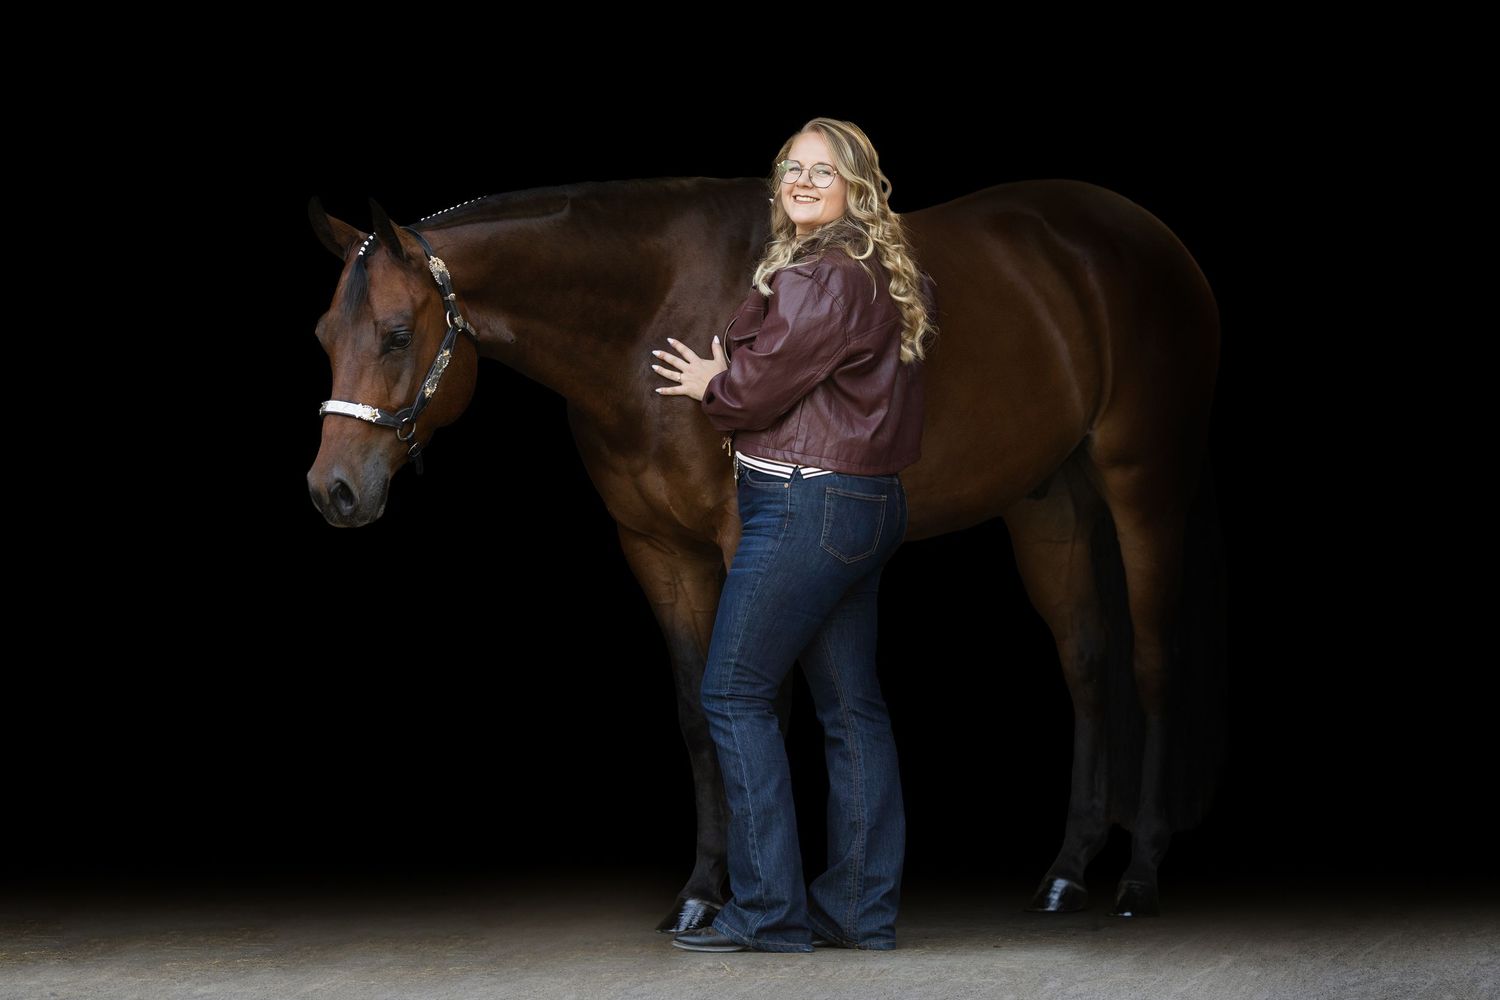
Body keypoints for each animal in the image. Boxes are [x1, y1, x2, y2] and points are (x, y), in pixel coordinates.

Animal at [305, 176, 1225, 925]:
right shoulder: (658, 549)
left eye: (396, 333)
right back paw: (1066, 872)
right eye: (322, 336)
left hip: (1144, 488)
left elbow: (762, 705)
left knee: (1151, 664)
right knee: (1087, 665)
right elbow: (696, 715)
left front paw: (758, 894)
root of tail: (1143, 234)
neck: (652, 315)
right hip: (1051, 506)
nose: (333, 491)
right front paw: (701, 892)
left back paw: (1139, 876)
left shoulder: (747, 538)